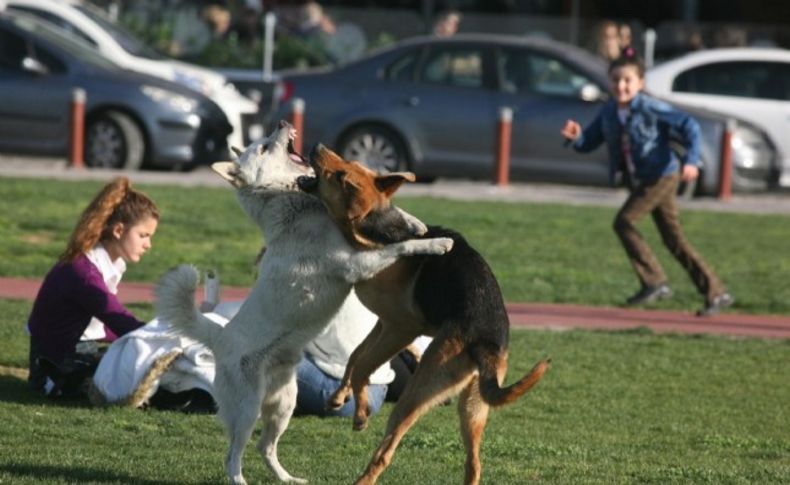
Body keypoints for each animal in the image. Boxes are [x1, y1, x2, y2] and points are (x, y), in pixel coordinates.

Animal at [156, 121, 452, 484]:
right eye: (264, 146)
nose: (283, 123)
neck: (290, 203)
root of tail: (220, 336)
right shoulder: (356, 264)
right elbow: (399, 248)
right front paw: (437, 243)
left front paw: (416, 223)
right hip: (247, 409)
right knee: (233, 455)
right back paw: (240, 479)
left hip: (284, 402)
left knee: (265, 447)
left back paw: (287, 478)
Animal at [296, 144, 552, 484]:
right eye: (349, 162)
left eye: (341, 176)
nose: (317, 148)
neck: (377, 233)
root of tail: (484, 343)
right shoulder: (384, 324)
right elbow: (355, 357)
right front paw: (340, 397)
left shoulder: (401, 328)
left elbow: (363, 366)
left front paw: (361, 413)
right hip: (474, 406)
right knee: (474, 463)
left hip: (417, 392)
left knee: (386, 450)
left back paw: (364, 478)